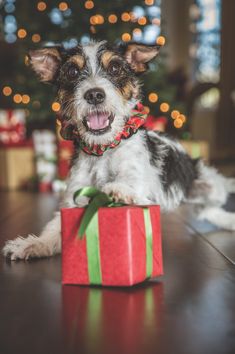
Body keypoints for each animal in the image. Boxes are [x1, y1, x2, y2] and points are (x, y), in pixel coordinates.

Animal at [1, 40, 235, 260]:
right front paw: (33, 244)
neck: (103, 149)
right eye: (72, 71)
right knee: (206, 211)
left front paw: (119, 189)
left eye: (114, 68)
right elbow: (56, 226)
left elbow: (130, 186)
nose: (94, 95)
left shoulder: (141, 185)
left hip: (209, 185)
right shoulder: (75, 195)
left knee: (213, 201)